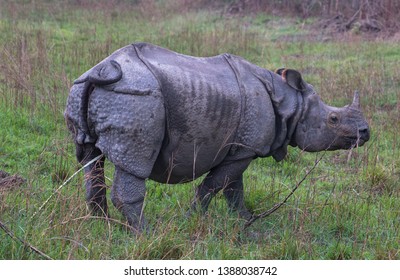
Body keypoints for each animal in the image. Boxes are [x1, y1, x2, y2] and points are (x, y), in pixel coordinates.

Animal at [65, 42, 368, 233]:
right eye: (333, 119)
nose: (365, 132)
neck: (291, 102)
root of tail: (101, 70)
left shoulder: (240, 148)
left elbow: (234, 189)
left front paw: (247, 220)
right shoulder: (245, 149)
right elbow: (213, 186)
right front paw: (192, 219)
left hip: (87, 89)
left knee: (91, 159)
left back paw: (101, 225)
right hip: (137, 97)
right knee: (133, 163)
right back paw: (145, 233)